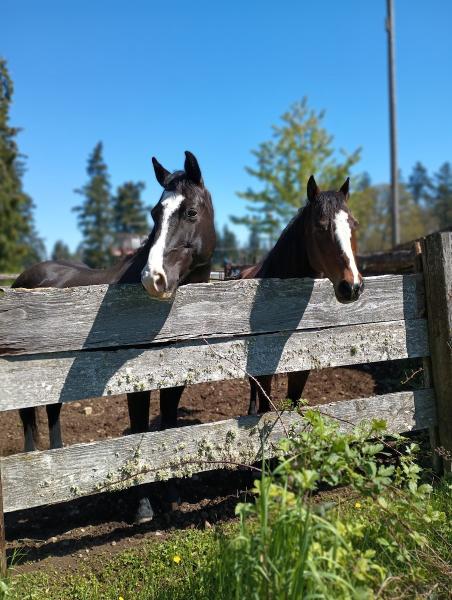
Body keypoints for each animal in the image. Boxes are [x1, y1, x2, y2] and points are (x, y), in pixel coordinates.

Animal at [11, 152, 215, 524]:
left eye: (191, 212)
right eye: (155, 213)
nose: (153, 278)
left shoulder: (175, 381)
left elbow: (168, 427)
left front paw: (172, 495)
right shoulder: (135, 383)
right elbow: (138, 431)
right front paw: (144, 506)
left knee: (51, 410)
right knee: (27, 416)